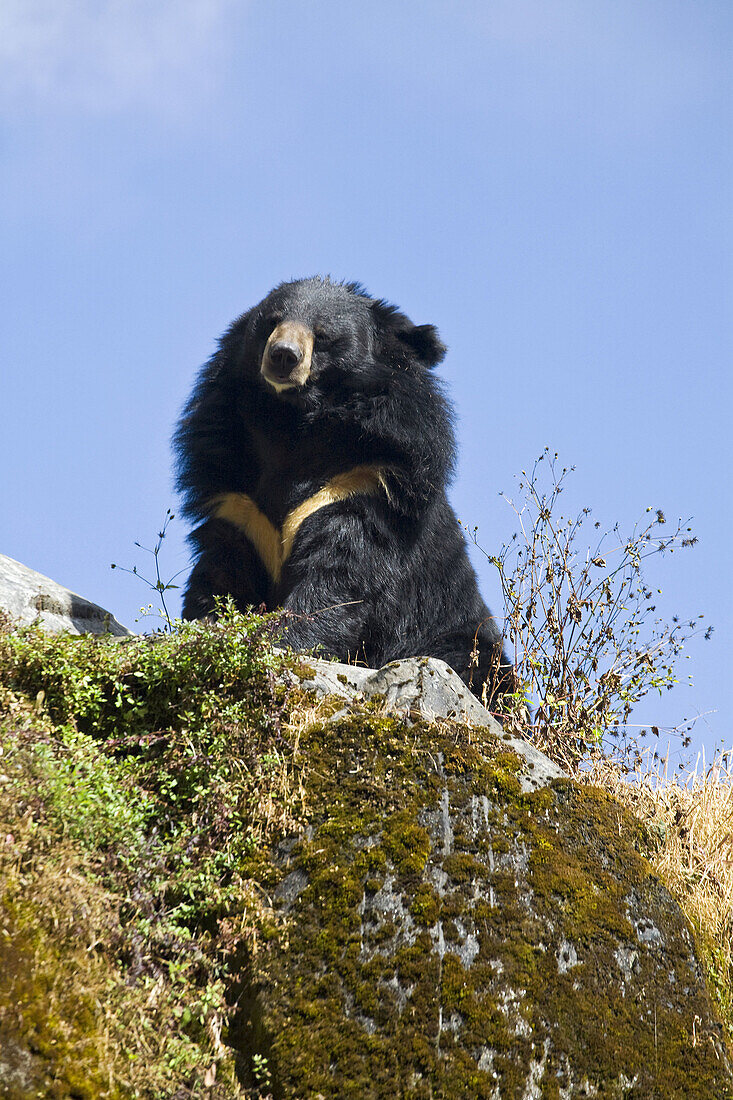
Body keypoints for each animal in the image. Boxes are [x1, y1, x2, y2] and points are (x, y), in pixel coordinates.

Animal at [173, 275, 510, 704]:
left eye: (323, 335)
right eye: (271, 321)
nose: (283, 356)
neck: (289, 423)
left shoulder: (364, 482)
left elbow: (337, 580)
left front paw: (276, 638)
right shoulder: (235, 496)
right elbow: (222, 575)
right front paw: (207, 627)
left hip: (458, 643)